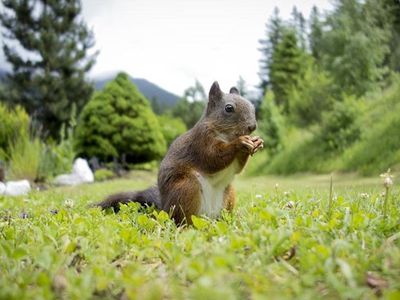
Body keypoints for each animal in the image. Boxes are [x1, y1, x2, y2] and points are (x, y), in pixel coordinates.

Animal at [95, 81, 264, 224]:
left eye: (252, 106)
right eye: (229, 108)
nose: (252, 126)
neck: (226, 135)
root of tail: (164, 207)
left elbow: (237, 168)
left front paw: (256, 142)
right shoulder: (201, 141)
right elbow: (212, 158)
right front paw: (240, 143)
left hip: (229, 194)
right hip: (186, 188)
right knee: (181, 220)